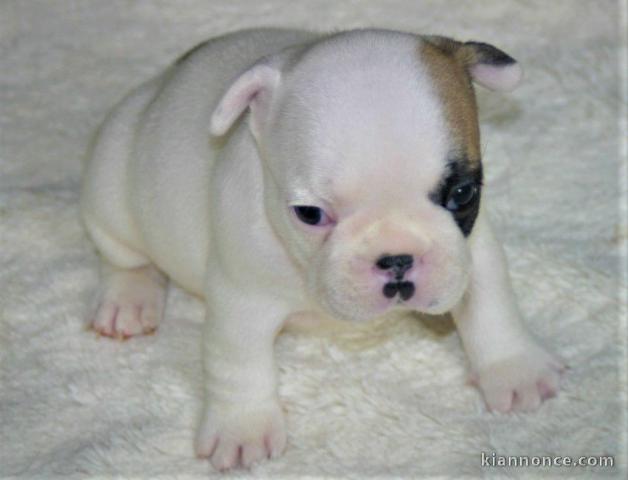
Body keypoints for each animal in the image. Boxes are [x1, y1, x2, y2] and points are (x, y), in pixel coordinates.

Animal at [79, 28, 564, 470]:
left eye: (463, 193)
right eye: (309, 214)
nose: (397, 258)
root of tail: (158, 84)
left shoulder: (472, 250)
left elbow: (491, 304)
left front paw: (515, 369)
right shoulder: (240, 298)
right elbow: (237, 361)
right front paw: (243, 427)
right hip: (110, 185)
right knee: (122, 255)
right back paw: (129, 299)